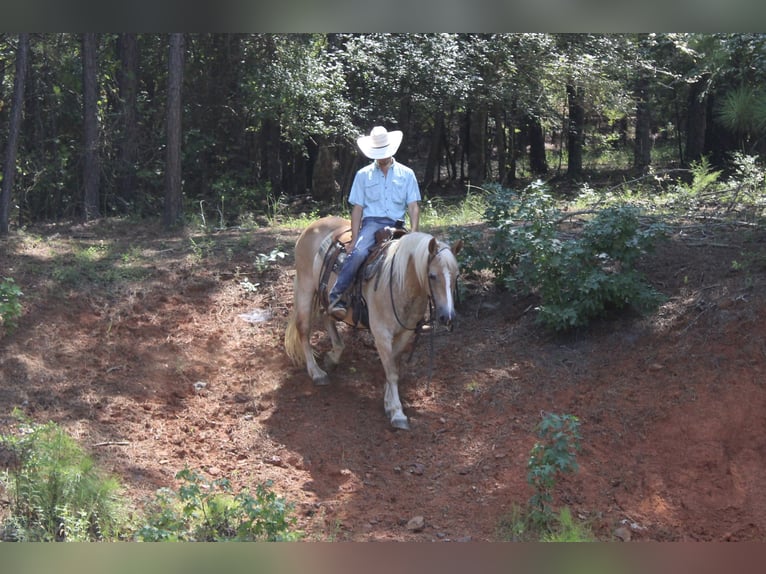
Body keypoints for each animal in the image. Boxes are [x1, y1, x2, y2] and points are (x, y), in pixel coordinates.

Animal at [284, 217, 460, 432]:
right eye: (433, 276)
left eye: (457, 275)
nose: (447, 316)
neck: (400, 282)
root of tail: (313, 226)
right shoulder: (381, 334)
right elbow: (392, 372)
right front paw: (397, 412)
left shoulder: (404, 334)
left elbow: (393, 368)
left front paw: (389, 403)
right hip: (305, 288)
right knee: (304, 329)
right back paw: (317, 373)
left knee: (328, 317)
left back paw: (333, 357)